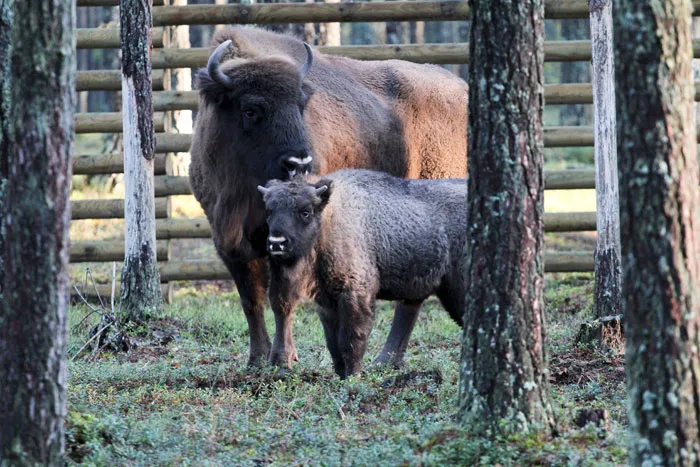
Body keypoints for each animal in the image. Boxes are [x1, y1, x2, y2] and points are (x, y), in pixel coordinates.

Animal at [258, 170, 464, 378]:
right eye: (269, 210)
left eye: (305, 211)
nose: (277, 243)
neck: (329, 218)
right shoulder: (327, 300)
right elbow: (333, 343)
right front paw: (343, 375)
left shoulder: (355, 293)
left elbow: (350, 338)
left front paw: (353, 375)